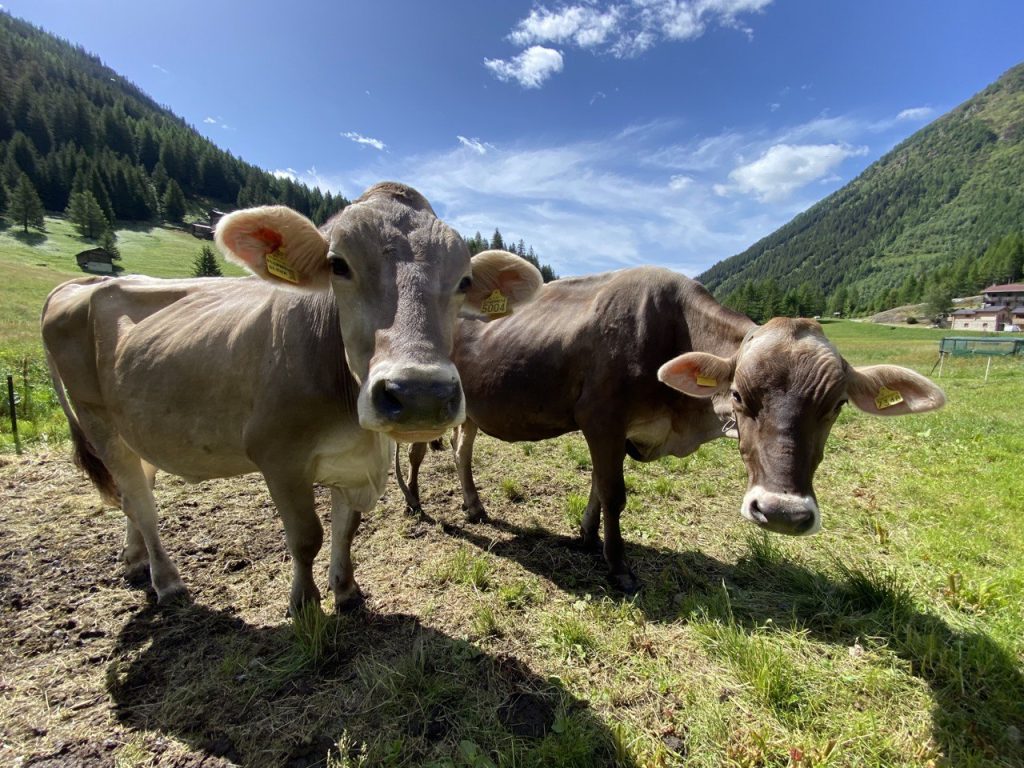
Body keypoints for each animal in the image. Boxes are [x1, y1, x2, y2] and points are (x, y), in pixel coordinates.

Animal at [41, 182, 544, 614]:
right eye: (338, 264)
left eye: (464, 281)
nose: (420, 394)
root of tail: (78, 285)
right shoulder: (277, 455)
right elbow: (307, 536)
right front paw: (304, 603)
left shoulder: (357, 463)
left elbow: (347, 528)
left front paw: (346, 590)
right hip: (96, 419)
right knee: (138, 497)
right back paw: (167, 580)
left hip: (133, 423)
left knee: (134, 488)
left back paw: (136, 560)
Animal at [403, 268, 946, 593]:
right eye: (739, 396)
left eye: (836, 406)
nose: (782, 513)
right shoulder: (601, 418)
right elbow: (614, 493)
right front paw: (618, 565)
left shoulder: (613, 432)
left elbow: (598, 488)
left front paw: (586, 537)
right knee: (416, 453)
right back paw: (414, 503)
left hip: (471, 411)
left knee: (462, 450)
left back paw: (474, 506)